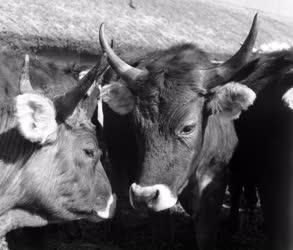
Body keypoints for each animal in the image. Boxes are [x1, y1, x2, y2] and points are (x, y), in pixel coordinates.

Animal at [98, 15, 258, 250]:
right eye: (136, 125)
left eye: (188, 127)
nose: (144, 197)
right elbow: (163, 234)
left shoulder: (215, 181)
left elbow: (205, 234)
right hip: (116, 154)